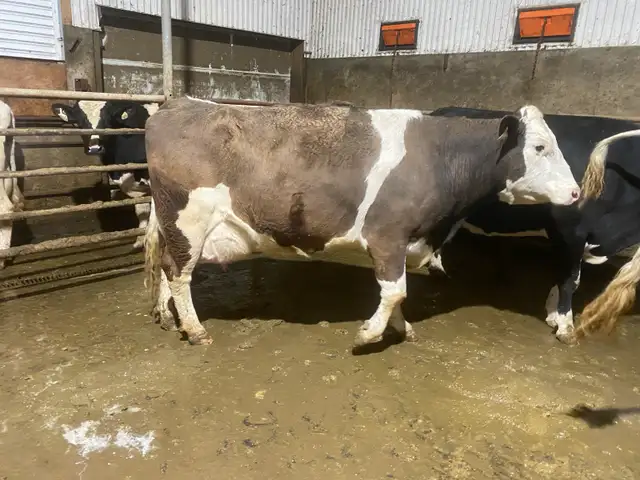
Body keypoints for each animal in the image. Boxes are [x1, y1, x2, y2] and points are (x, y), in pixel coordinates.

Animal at [51, 100, 160, 249]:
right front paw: (139, 240)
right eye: (79, 122)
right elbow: (142, 211)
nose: (94, 148)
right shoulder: (136, 187)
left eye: (108, 119)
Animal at [142, 97, 582, 347]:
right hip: (189, 220)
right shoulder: (388, 235)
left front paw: (401, 329)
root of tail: (179, 102)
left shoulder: (404, 242)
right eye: (539, 147)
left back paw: (167, 316)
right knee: (179, 273)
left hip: (176, 225)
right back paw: (195, 330)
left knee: (166, 266)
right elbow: (395, 292)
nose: (577, 193)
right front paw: (369, 333)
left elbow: (397, 293)